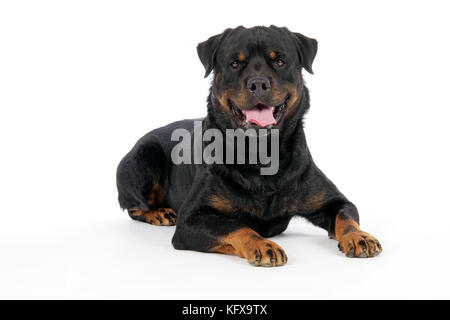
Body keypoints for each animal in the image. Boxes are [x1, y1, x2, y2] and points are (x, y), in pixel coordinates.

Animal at [117, 25, 384, 266]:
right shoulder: (191, 218)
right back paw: (159, 212)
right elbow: (235, 225)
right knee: (134, 206)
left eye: (280, 61)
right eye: (235, 63)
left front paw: (359, 236)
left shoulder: (332, 200)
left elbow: (346, 215)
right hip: (144, 156)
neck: (260, 154)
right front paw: (261, 244)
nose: (258, 83)